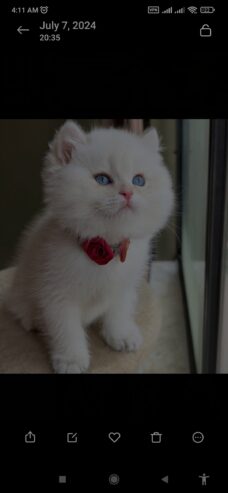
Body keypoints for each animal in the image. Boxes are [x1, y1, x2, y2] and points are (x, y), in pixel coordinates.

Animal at [5, 120, 174, 372]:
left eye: (139, 180)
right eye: (102, 179)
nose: (128, 192)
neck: (107, 249)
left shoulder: (124, 286)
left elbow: (119, 310)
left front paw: (121, 335)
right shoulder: (56, 294)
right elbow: (66, 329)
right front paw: (71, 359)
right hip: (22, 293)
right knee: (23, 310)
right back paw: (33, 320)